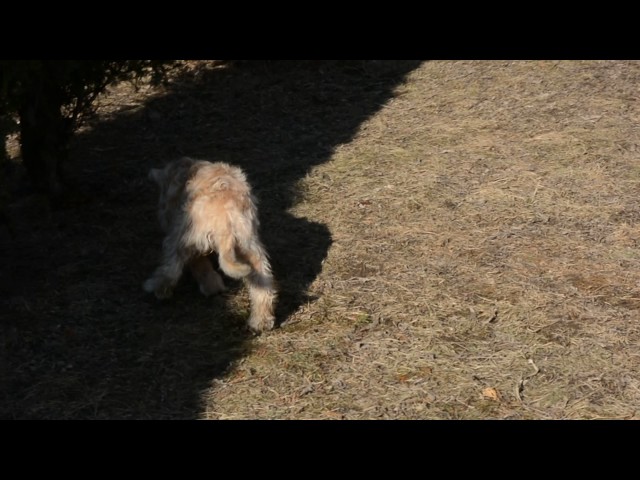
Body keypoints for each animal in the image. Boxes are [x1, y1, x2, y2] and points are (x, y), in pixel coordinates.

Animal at [144, 158, 276, 334]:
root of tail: (227, 216)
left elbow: (196, 265)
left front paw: (211, 287)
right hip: (249, 247)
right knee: (262, 281)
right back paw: (261, 320)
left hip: (183, 239)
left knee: (170, 269)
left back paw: (157, 288)